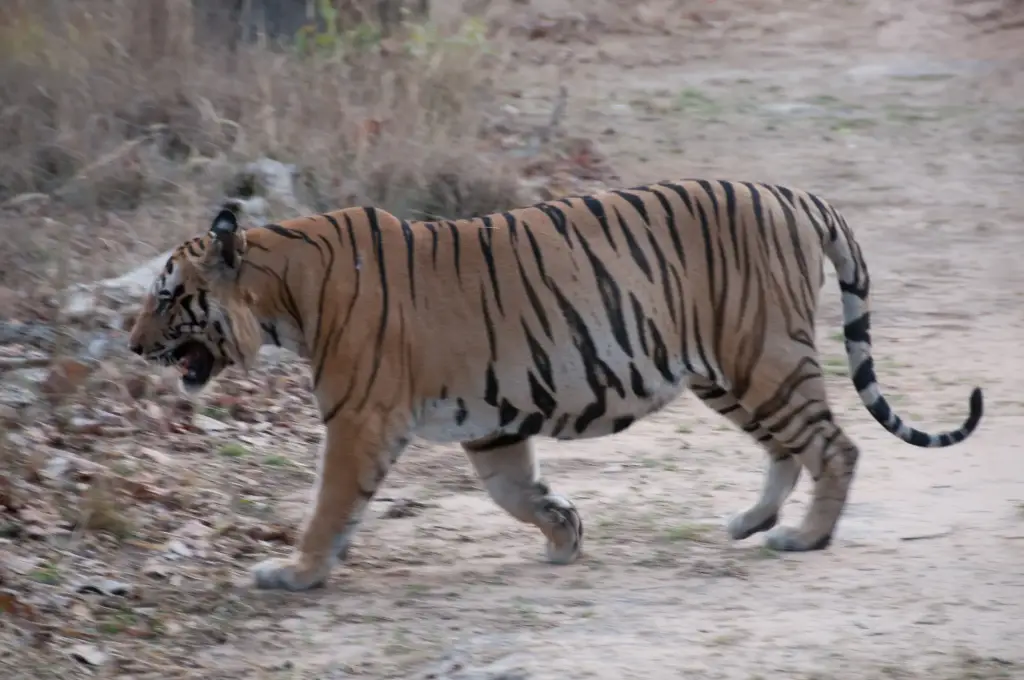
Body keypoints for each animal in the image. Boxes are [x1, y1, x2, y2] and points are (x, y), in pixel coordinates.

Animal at [127, 179, 984, 592]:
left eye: (168, 295)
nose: (133, 347)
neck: (285, 294)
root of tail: (795, 195)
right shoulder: (489, 422)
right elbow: (514, 492)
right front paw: (565, 533)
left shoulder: (359, 418)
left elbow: (329, 506)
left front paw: (297, 573)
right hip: (726, 371)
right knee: (787, 448)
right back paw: (752, 521)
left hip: (761, 355)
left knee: (833, 446)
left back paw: (806, 536)